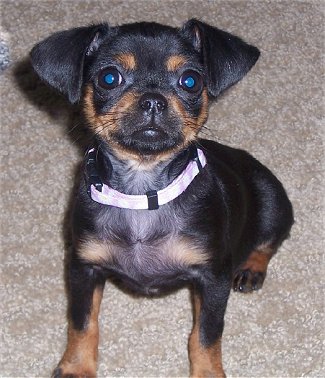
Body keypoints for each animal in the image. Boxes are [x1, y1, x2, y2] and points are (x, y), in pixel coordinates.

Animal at [30, 19, 294, 376]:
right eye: (109, 77)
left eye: (191, 81)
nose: (153, 100)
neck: (143, 193)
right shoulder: (84, 267)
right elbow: (82, 323)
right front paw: (76, 367)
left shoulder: (213, 278)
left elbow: (206, 334)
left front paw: (208, 372)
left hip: (273, 205)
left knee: (268, 242)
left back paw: (252, 268)